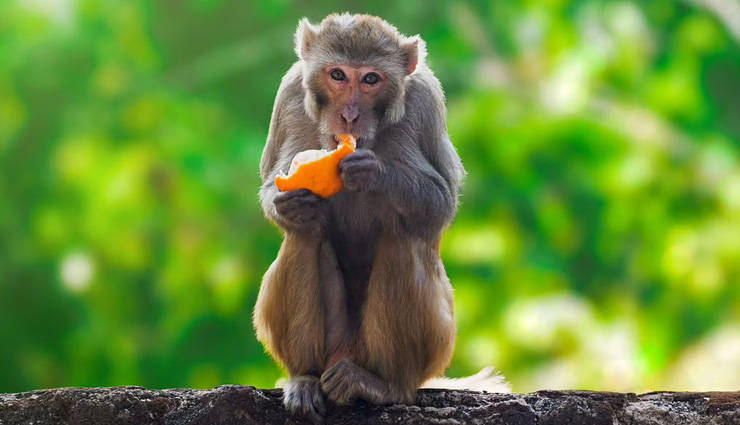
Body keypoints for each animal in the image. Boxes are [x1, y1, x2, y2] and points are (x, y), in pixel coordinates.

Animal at [254, 13, 508, 422]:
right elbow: (274, 183)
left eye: (371, 79)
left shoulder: (426, 100)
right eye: (338, 75)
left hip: (434, 346)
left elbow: (441, 202)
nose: (349, 115)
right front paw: (288, 202)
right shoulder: (290, 93)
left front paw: (374, 174)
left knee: (399, 234)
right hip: (335, 344)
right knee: (305, 235)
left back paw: (384, 386)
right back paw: (304, 377)